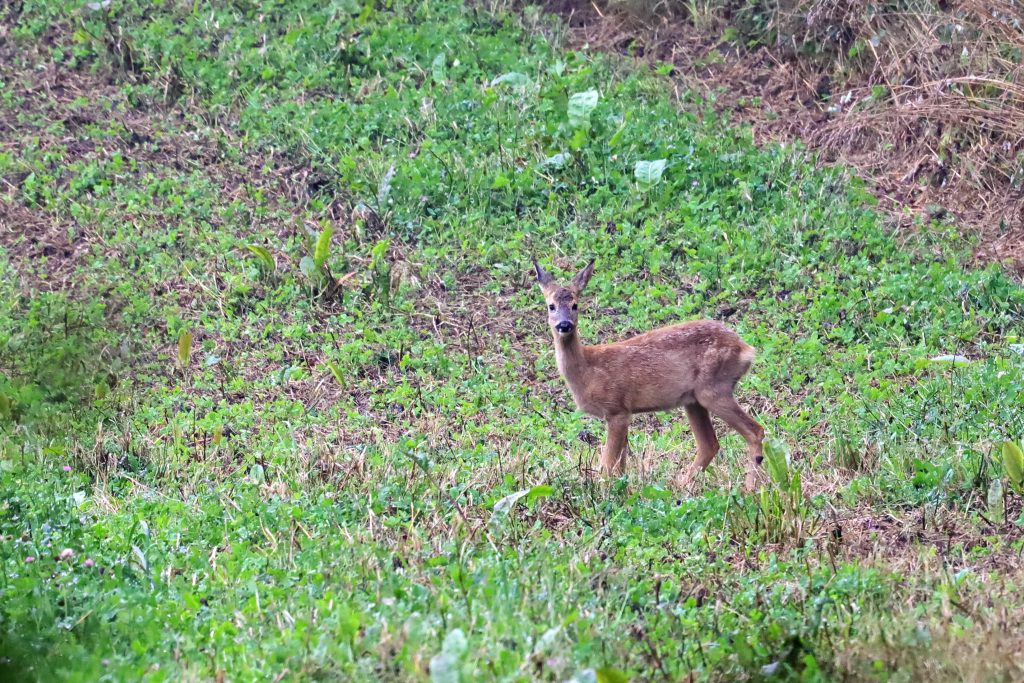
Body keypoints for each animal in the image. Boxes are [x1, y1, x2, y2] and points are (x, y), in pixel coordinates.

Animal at [532, 259, 765, 489]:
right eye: (551, 306)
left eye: (575, 305)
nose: (564, 325)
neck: (587, 371)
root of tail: (745, 349)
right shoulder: (624, 413)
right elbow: (620, 466)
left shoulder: (617, 409)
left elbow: (607, 466)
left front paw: (604, 493)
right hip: (693, 400)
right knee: (709, 444)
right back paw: (682, 487)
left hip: (714, 388)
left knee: (755, 431)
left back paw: (749, 490)